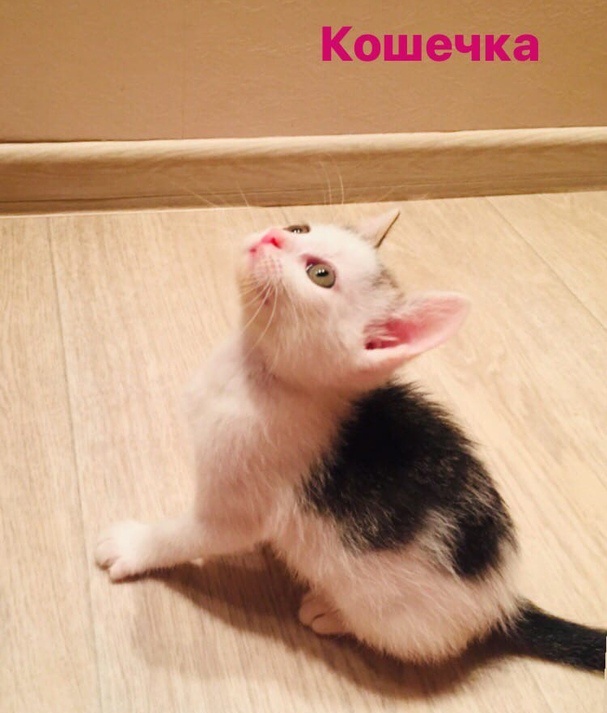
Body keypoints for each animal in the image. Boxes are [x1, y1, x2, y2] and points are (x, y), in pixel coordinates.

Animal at [96, 209, 605, 672]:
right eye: (300, 227)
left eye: (320, 275)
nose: (274, 235)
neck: (250, 372)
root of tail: (503, 602)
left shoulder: (238, 503)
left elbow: (186, 535)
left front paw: (136, 545)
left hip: (392, 611)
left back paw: (329, 611)